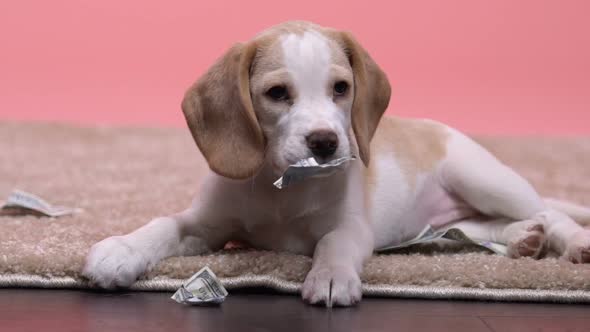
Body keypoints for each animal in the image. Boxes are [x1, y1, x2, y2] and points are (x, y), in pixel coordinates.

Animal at [85, 20, 590, 306]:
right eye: (277, 93)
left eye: (341, 88)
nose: (326, 142)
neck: (281, 188)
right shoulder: (205, 225)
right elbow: (162, 225)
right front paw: (119, 251)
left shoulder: (351, 228)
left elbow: (333, 245)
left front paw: (329, 277)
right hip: (447, 222)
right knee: (479, 228)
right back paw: (522, 240)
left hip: (482, 178)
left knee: (550, 212)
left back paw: (570, 241)